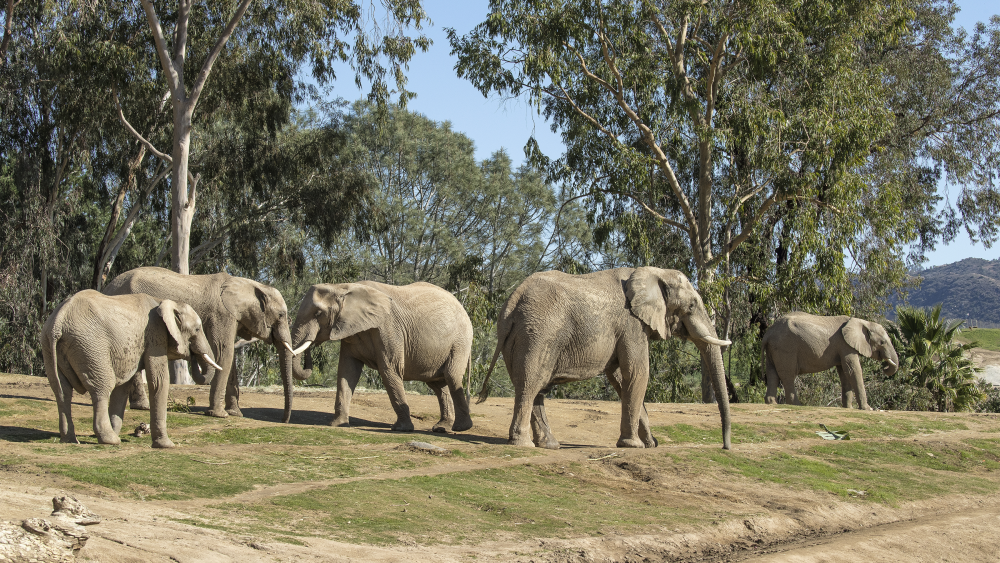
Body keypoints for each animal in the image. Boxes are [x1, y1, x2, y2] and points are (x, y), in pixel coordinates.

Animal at [41, 290, 221, 450]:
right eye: (197, 329)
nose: (192, 353)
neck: (163, 301)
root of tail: (59, 320)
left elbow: (122, 388)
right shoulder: (155, 335)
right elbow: (159, 381)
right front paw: (166, 445)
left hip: (49, 346)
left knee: (62, 391)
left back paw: (70, 440)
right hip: (90, 347)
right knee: (101, 389)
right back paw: (110, 440)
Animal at [104, 268, 296, 424]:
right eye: (281, 315)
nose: (283, 421)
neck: (251, 284)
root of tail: (108, 286)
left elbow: (228, 357)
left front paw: (235, 413)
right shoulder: (222, 314)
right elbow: (223, 353)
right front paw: (219, 415)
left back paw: (140, 406)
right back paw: (143, 406)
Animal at [292, 280, 474, 432]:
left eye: (318, 314)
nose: (312, 343)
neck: (343, 287)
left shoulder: (388, 329)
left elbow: (389, 369)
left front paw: (401, 429)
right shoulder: (351, 332)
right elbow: (347, 371)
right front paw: (338, 425)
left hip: (460, 342)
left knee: (451, 376)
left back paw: (461, 428)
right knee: (438, 384)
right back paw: (442, 428)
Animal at [480, 268, 732, 450]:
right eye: (691, 305)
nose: (725, 447)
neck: (654, 272)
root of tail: (512, 302)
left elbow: (620, 377)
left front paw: (650, 444)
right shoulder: (631, 324)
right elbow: (638, 373)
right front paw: (634, 446)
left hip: (520, 337)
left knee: (535, 388)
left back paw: (550, 445)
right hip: (538, 334)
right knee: (530, 384)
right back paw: (523, 445)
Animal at [760, 312, 904, 410]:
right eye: (882, 342)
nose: (885, 368)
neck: (862, 322)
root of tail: (768, 333)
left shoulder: (842, 348)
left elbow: (844, 373)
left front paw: (848, 408)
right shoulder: (845, 345)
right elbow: (853, 370)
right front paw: (868, 409)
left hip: (774, 349)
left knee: (772, 373)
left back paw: (772, 403)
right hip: (785, 347)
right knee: (788, 375)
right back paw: (797, 405)